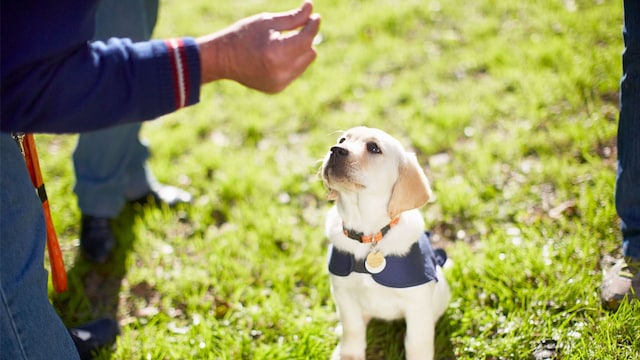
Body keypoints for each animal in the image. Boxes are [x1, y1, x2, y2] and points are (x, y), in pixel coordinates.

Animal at [320, 126, 450, 360]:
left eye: (374, 148)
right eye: (342, 140)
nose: (335, 150)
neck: (368, 233)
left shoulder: (417, 305)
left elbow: (417, 342)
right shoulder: (343, 293)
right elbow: (353, 329)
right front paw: (349, 354)